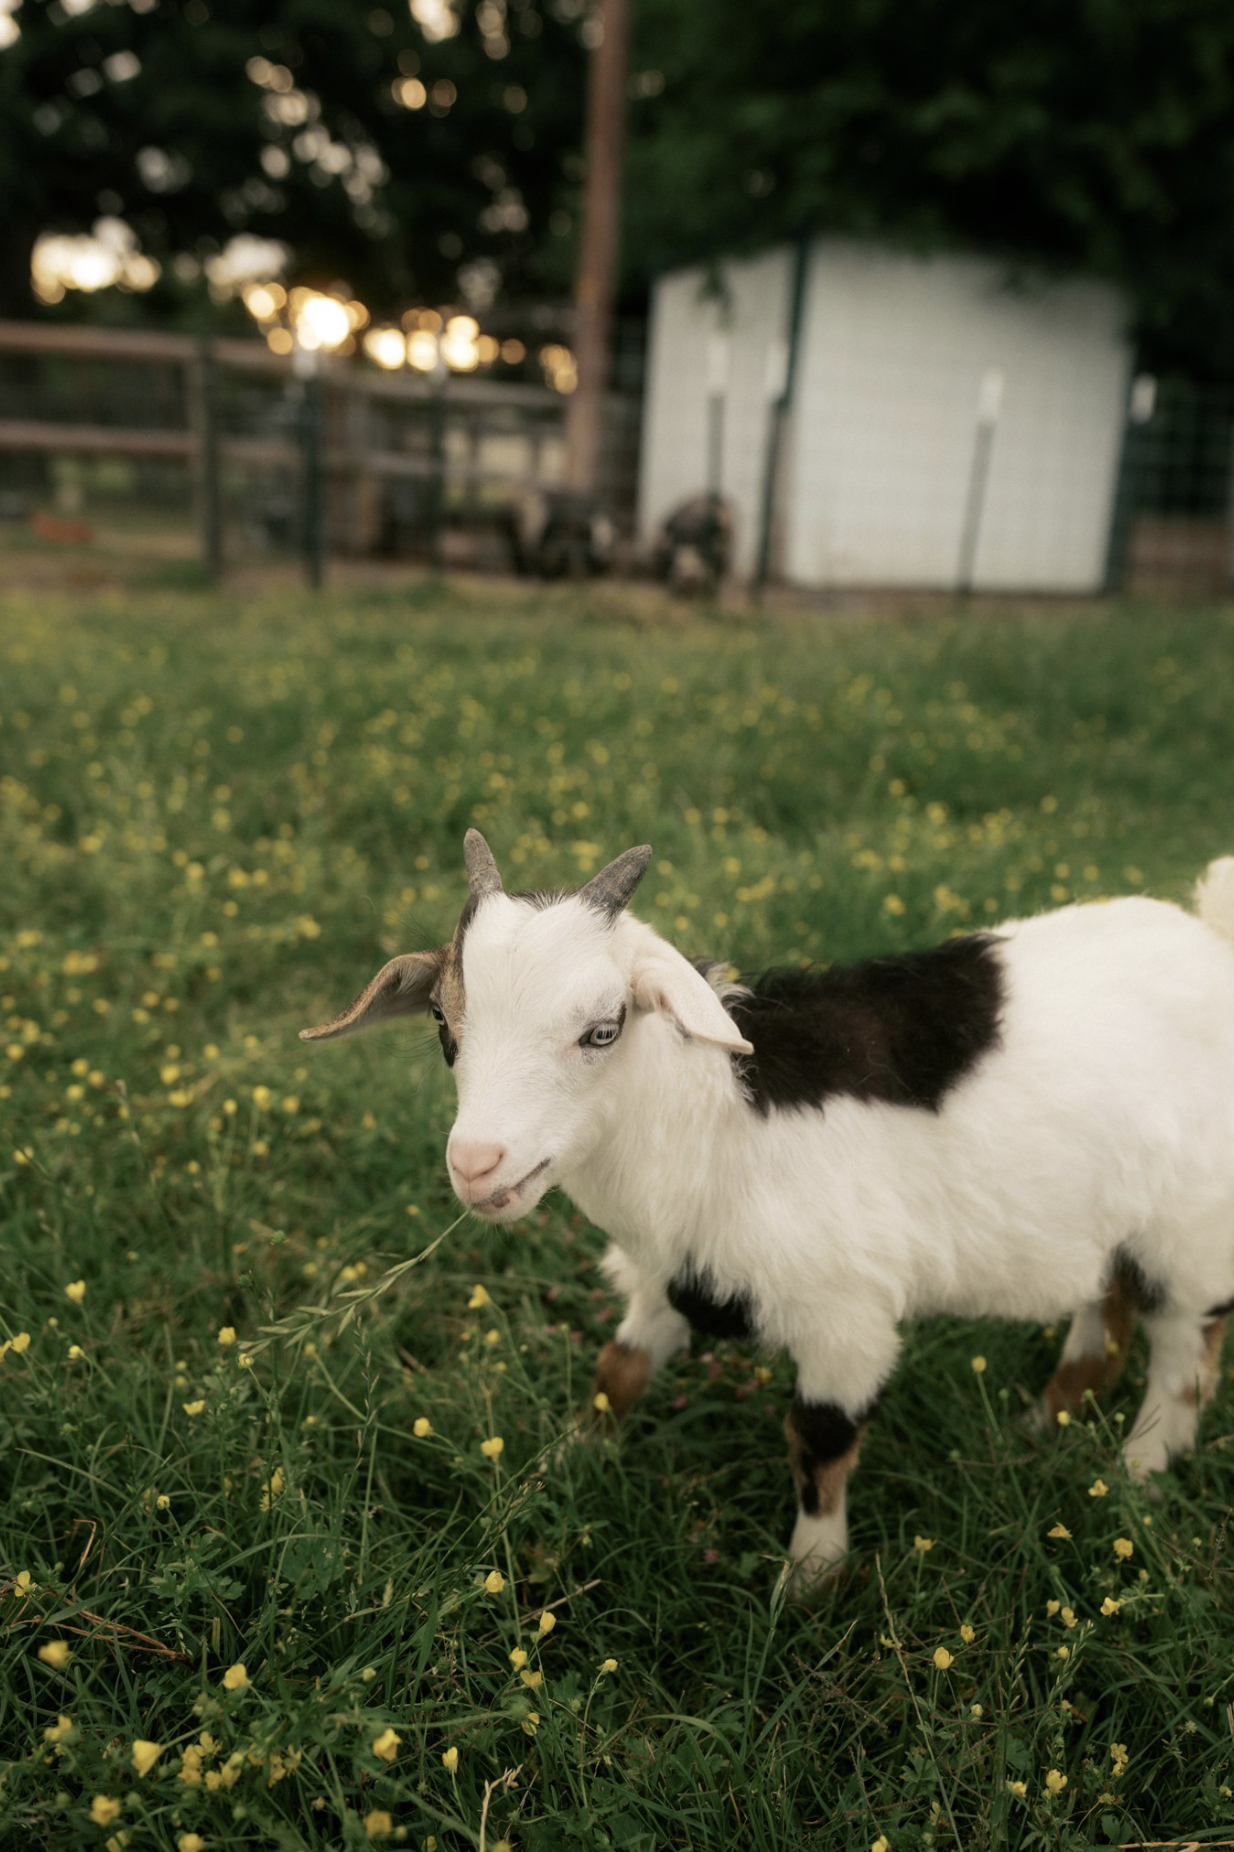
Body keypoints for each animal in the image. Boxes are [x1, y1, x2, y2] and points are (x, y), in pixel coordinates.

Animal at [302, 833, 1234, 1590]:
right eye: (440, 1017)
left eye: (604, 1029)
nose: (476, 1164)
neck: (717, 1115)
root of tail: (1210, 936)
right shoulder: (670, 1271)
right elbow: (616, 1374)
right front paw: (559, 1469)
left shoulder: (844, 1317)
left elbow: (818, 1442)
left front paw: (807, 1586)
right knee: (1106, 1310)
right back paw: (1042, 1428)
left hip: (1192, 1226)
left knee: (1185, 1350)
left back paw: (1139, 1470)